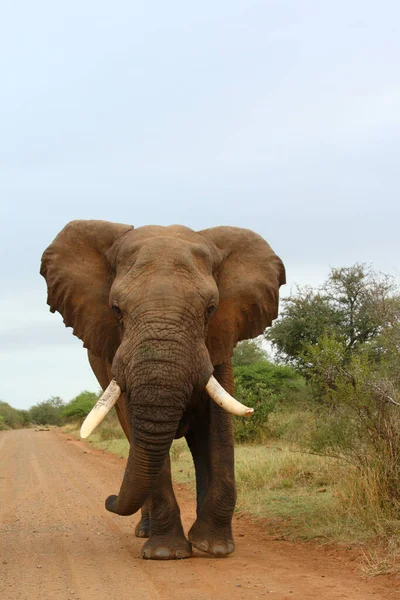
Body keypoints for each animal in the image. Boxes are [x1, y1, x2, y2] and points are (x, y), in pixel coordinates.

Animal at [39, 223, 284, 560]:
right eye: (116, 309)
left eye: (211, 309)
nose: (109, 500)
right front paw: (166, 553)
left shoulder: (221, 341)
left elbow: (218, 430)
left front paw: (214, 547)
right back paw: (146, 531)